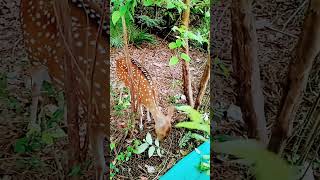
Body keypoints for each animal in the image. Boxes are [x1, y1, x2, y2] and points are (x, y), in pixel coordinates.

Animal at [21, 0, 109, 179]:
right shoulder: (95, 117)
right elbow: (100, 165)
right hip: (32, 50)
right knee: (36, 88)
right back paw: (32, 129)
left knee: (59, 85)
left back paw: (62, 118)